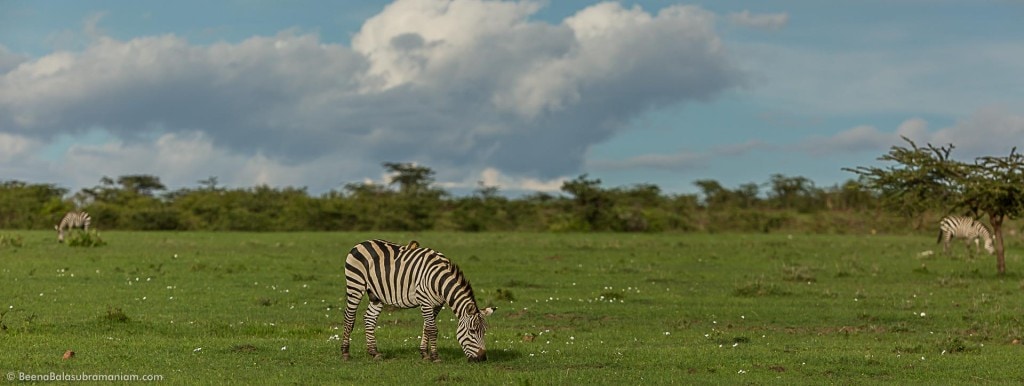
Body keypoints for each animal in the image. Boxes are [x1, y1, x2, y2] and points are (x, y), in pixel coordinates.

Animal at [342, 237, 493, 360]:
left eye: (484, 331)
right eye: (472, 331)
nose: (482, 358)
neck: (438, 279)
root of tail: (363, 242)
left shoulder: (437, 304)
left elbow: (427, 327)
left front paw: (424, 354)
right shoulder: (425, 301)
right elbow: (433, 329)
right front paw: (435, 357)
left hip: (376, 294)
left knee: (369, 318)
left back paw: (374, 352)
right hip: (356, 284)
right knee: (349, 317)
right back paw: (345, 353)